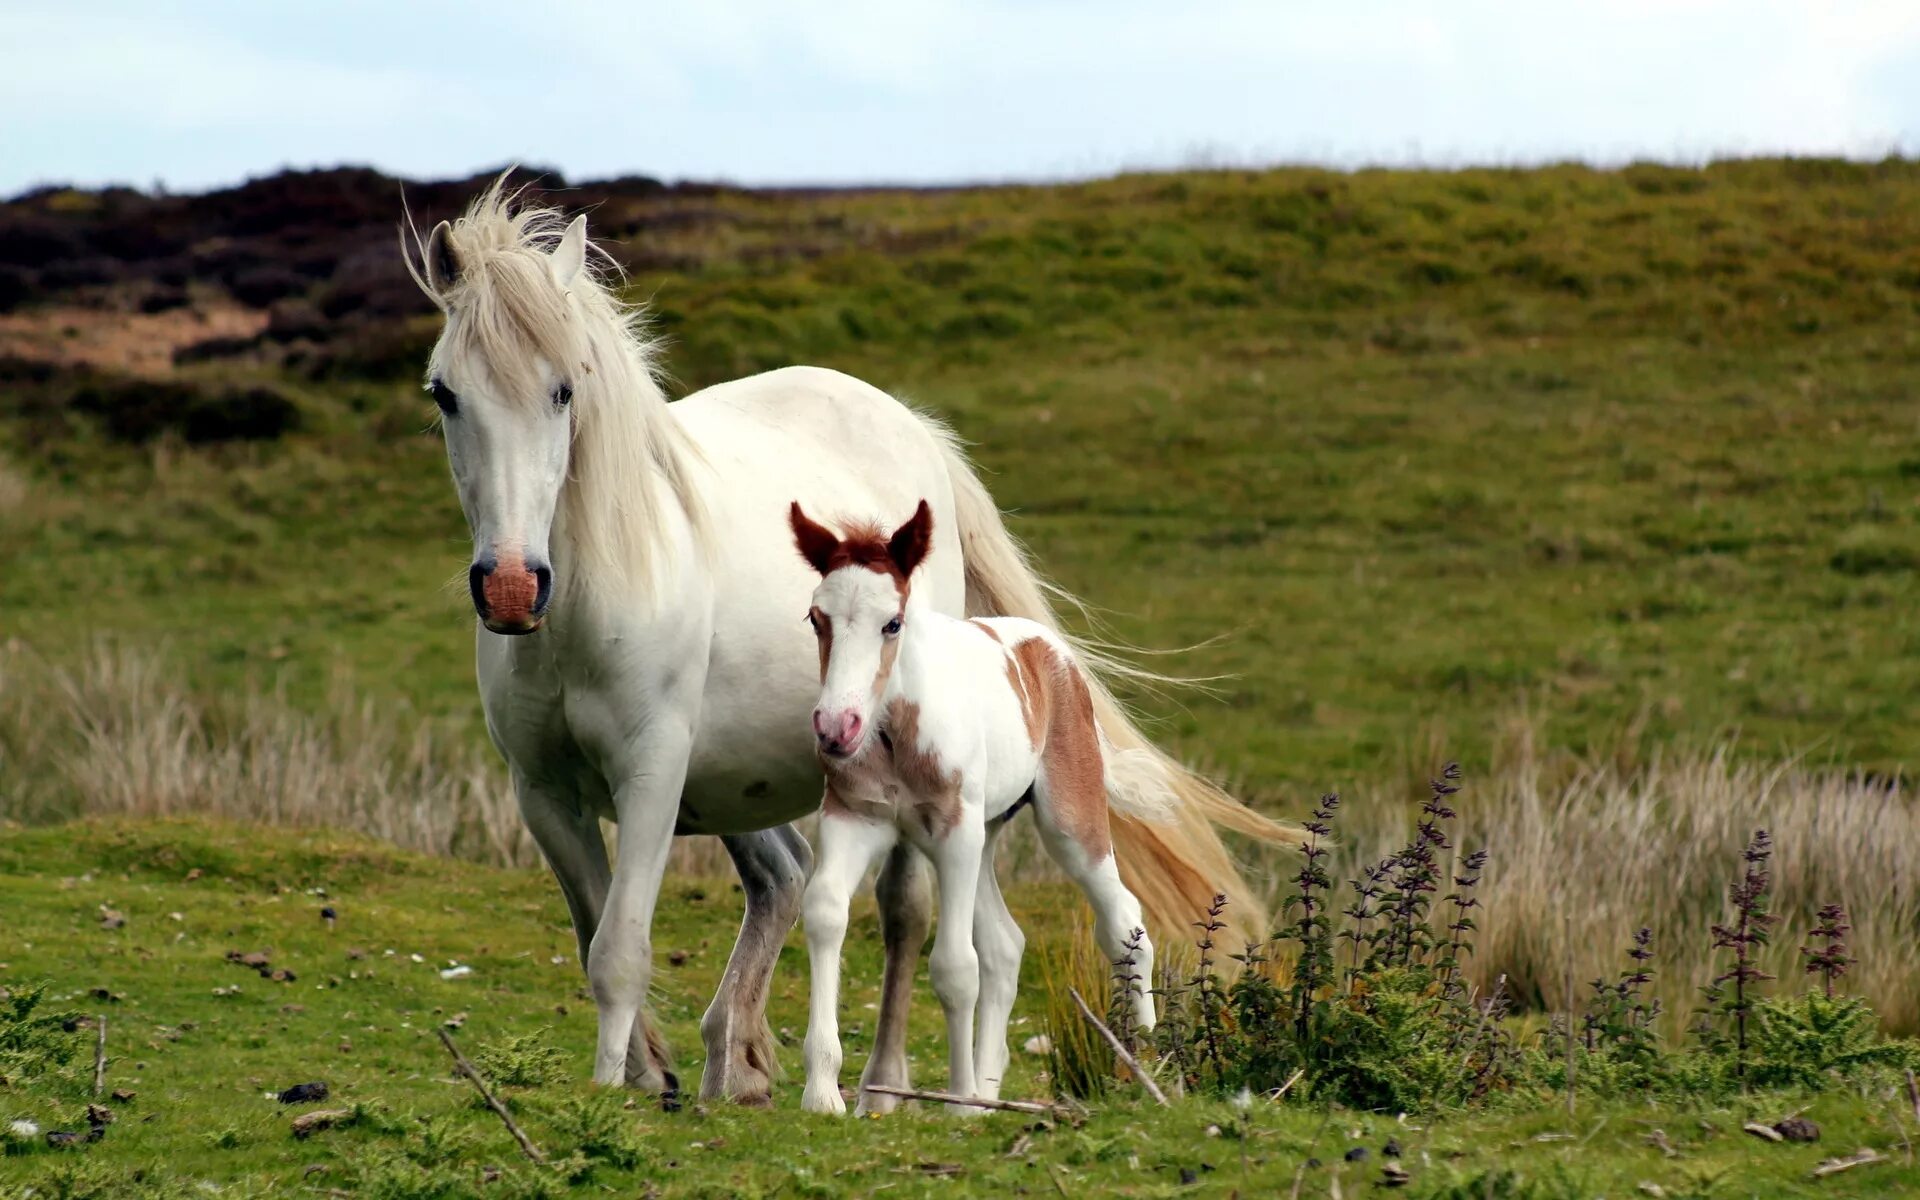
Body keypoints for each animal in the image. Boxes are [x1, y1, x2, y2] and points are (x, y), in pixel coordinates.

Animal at [791, 499, 1152, 1113]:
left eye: (892, 623)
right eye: (818, 619)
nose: (837, 729)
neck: (896, 733)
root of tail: (1051, 650)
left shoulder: (954, 831)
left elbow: (956, 967)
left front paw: (958, 1102)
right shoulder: (854, 818)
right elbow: (824, 913)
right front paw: (822, 1093)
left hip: (1065, 822)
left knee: (1124, 921)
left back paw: (1154, 1058)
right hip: (984, 836)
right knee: (1006, 946)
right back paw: (989, 1090)